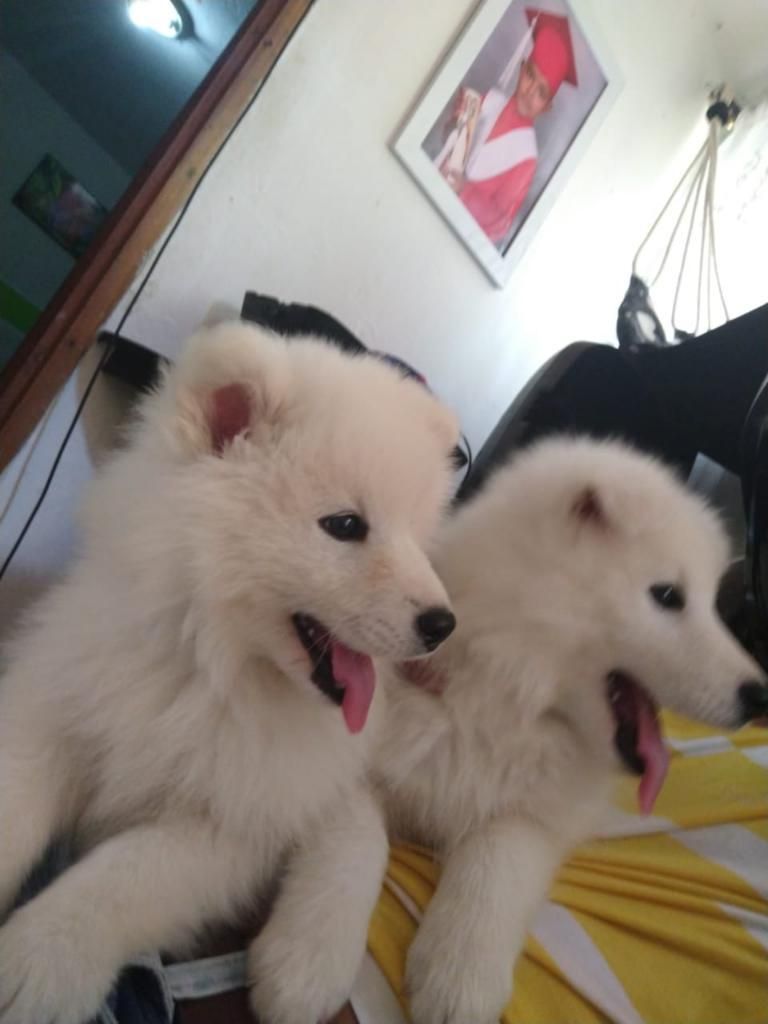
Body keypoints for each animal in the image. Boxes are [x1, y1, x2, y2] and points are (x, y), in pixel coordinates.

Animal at [0, 321, 460, 1024]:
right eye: (345, 525)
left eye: (417, 537)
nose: (443, 624)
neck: (208, 668)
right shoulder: (54, 710)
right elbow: (17, 803)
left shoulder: (234, 819)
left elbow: (119, 878)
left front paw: (36, 961)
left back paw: (303, 966)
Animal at [264, 438, 768, 1024]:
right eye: (668, 596)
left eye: (714, 603)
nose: (759, 695)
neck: (502, 690)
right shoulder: (351, 761)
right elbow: (356, 842)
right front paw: (304, 965)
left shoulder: (536, 814)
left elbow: (495, 862)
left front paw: (458, 980)